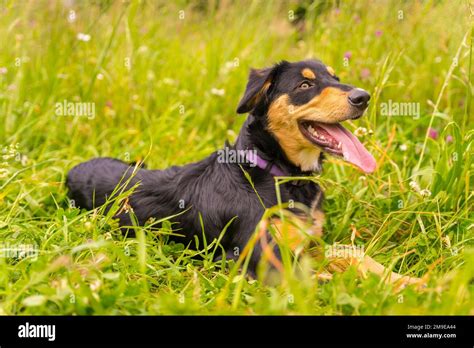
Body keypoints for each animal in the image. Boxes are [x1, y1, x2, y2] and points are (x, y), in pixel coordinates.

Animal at [65, 59, 418, 286]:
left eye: (335, 76)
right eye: (305, 84)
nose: (363, 97)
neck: (276, 171)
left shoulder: (308, 243)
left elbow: (353, 254)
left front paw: (409, 281)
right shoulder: (256, 259)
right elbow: (324, 279)